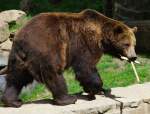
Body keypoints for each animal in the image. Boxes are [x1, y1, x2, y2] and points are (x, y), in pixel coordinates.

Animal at [1, 9, 137, 108]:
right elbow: (86, 67)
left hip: (18, 58)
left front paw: (100, 90)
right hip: (47, 48)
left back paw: (13, 101)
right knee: (54, 73)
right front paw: (95, 89)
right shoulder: (85, 43)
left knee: (16, 78)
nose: (133, 57)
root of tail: (20, 38)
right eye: (126, 44)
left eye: (134, 44)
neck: (102, 38)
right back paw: (67, 99)